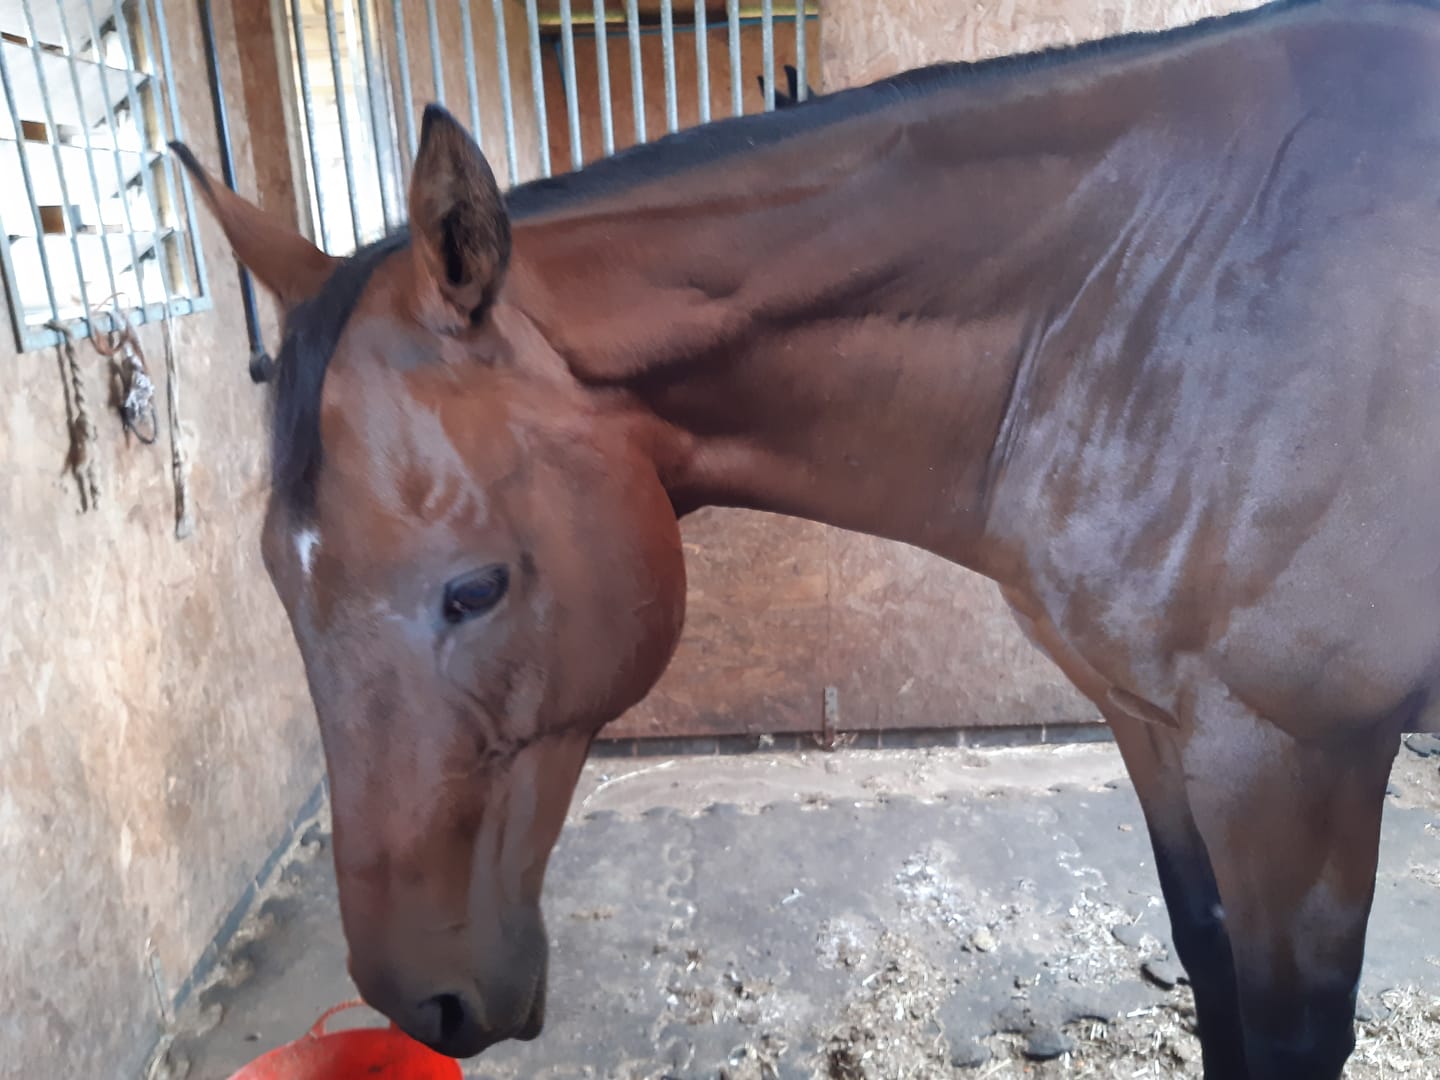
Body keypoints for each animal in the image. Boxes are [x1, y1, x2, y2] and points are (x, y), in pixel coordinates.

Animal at [174, 0, 1440, 1075]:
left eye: (473, 591)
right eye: (281, 588)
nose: (417, 1000)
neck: (1163, 289)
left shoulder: (1291, 764)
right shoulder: (1155, 729)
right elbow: (1207, 968)